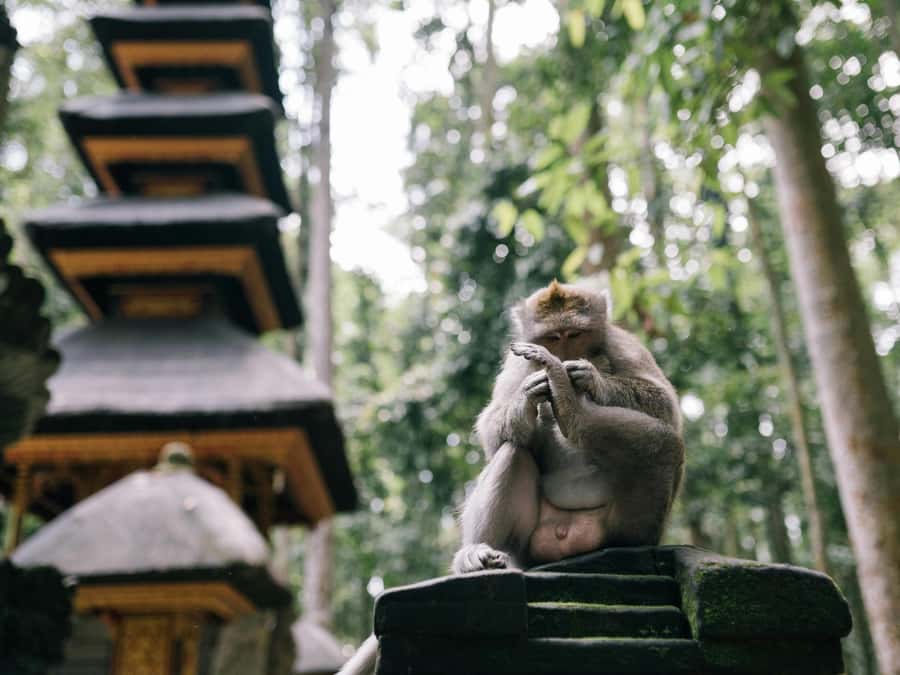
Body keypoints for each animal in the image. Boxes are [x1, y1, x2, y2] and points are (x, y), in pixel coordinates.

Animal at [451, 280, 684, 574]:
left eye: (574, 335)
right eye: (553, 337)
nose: (562, 356)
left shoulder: (622, 343)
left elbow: (664, 405)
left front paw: (590, 377)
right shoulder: (516, 361)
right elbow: (491, 432)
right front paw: (526, 396)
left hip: (620, 527)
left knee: (664, 445)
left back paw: (571, 408)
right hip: (526, 548)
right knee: (513, 452)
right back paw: (477, 552)